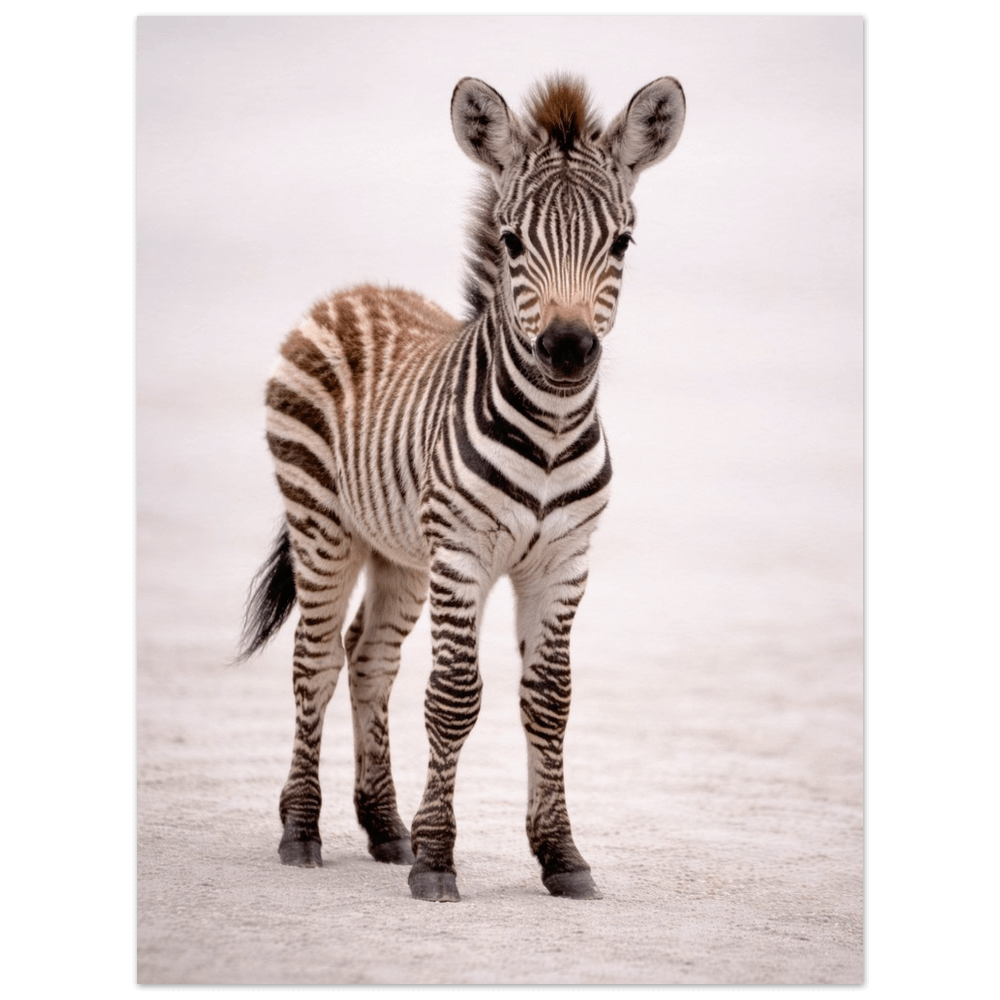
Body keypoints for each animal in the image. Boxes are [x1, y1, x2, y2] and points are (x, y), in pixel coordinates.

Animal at [241, 75, 685, 902]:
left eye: (622, 243)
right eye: (511, 242)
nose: (568, 349)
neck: (549, 431)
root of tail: (352, 290)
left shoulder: (563, 563)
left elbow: (550, 701)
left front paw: (561, 855)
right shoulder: (464, 555)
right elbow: (453, 698)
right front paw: (438, 859)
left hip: (398, 552)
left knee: (369, 659)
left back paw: (385, 826)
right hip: (324, 525)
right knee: (314, 662)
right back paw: (302, 829)